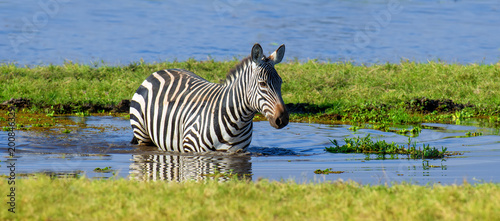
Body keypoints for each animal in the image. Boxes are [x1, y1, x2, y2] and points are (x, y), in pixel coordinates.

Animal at [129, 44, 290, 153]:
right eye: (262, 84)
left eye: (281, 82)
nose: (283, 119)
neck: (239, 121)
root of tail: (160, 71)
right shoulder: (191, 149)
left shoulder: (237, 151)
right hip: (143, 135)